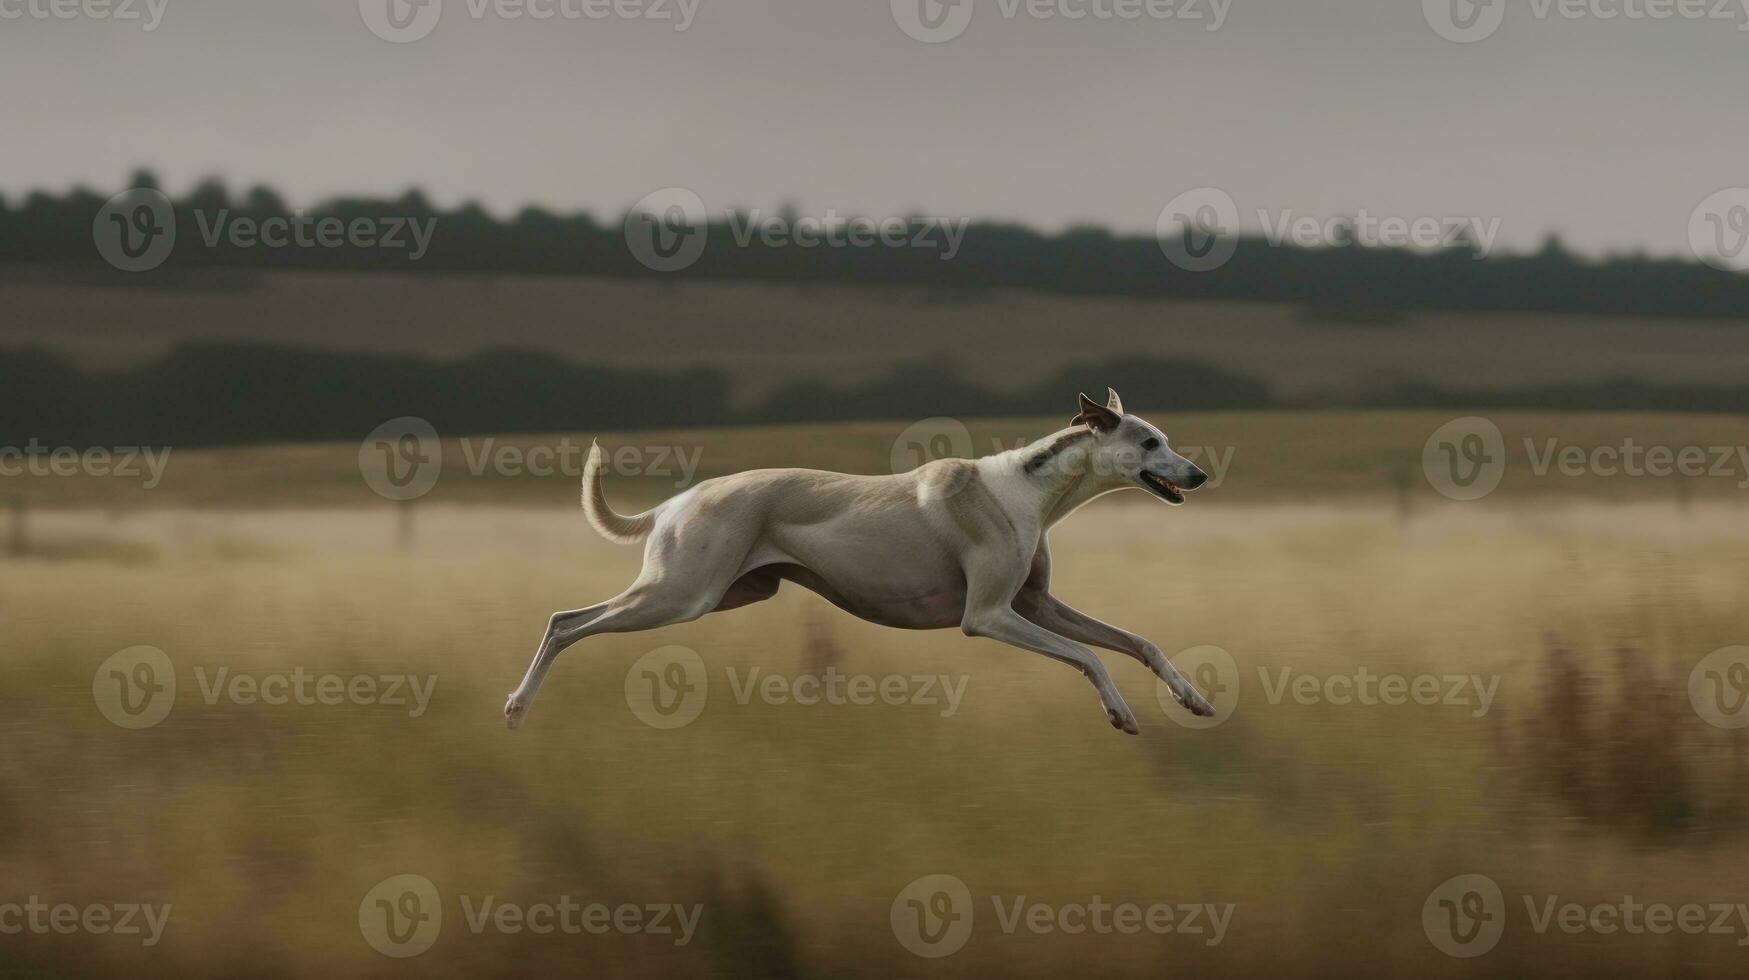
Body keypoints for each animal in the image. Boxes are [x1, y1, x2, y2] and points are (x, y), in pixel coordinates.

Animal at [507, 386, 1217, 731]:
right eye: (1148, 442)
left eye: (1166, 438)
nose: (1201, 474)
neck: (1026, 488)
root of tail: (676, 502)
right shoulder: (988, 616)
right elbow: (1089, 655)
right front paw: (1120, 711)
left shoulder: (1036, 605)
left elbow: (1137, 642)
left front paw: (1192, 699)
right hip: (679, 595)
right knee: (565, 623)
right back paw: (517, 706)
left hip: (726, 593)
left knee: (570, 622)